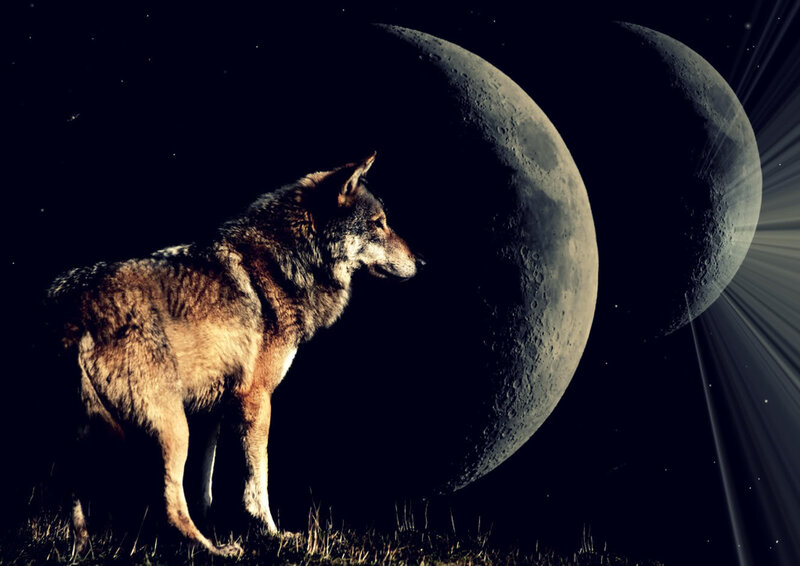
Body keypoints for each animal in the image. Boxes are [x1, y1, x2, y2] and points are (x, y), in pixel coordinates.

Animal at [46, 153, 420, 556]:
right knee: (169, 508)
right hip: (172, 429)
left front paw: (215, 521)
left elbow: (204, 485)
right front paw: (271, 533)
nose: (422, 262)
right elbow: (257, 482)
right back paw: (214, 551)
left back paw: (84, 546)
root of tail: (70, 309)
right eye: (379, 224)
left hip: (97, 434)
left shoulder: (211, 410)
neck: (289, 263)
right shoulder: (255, 399)